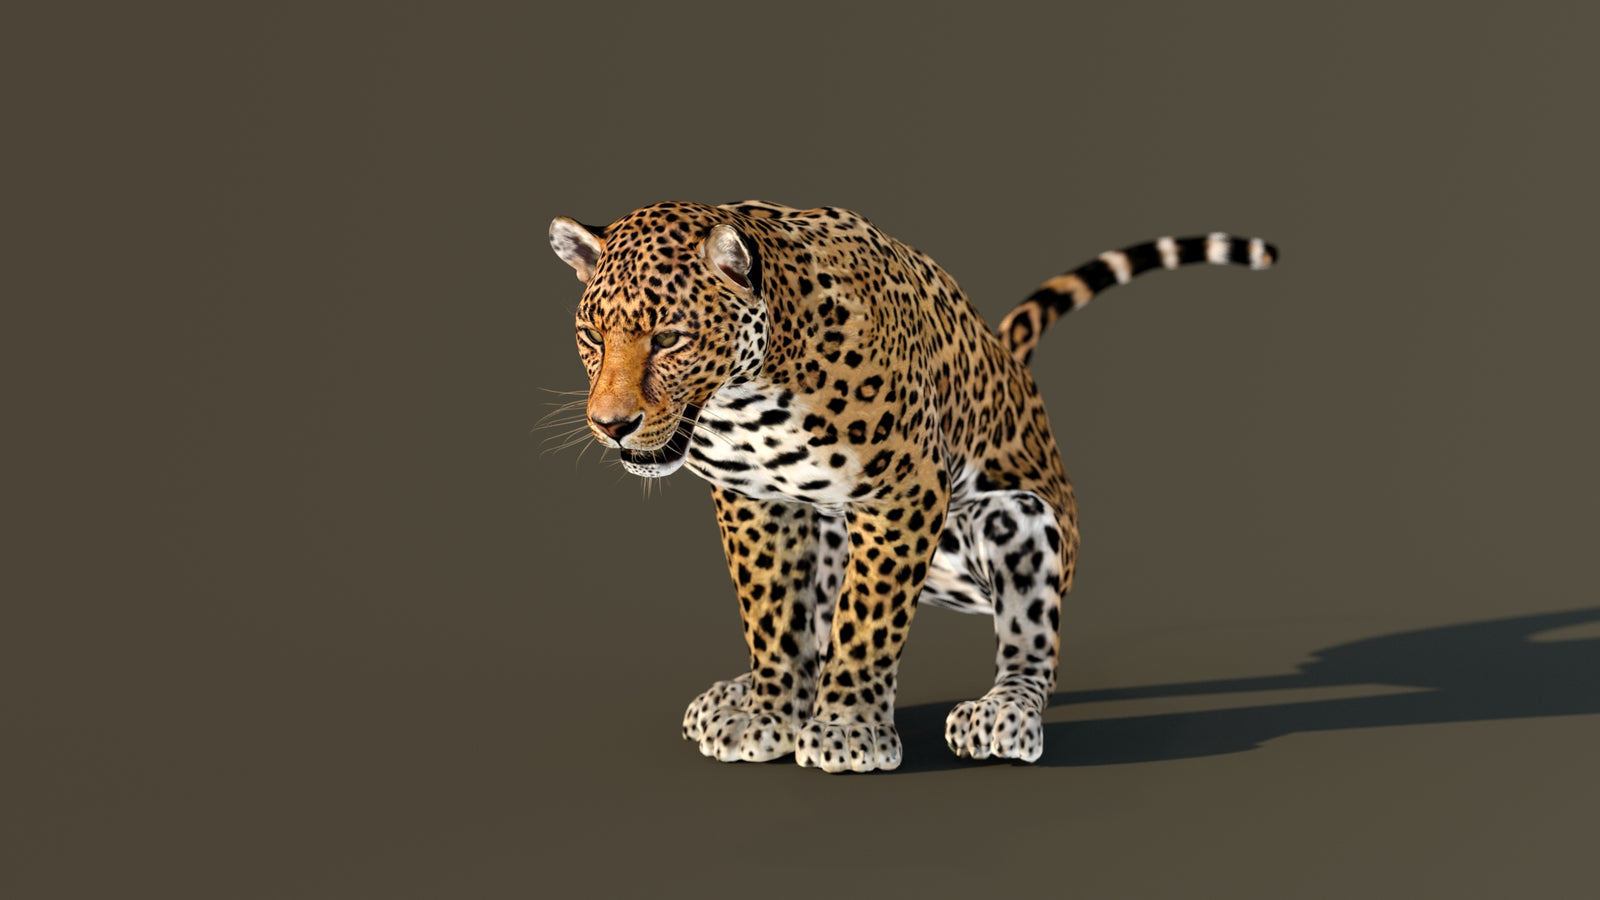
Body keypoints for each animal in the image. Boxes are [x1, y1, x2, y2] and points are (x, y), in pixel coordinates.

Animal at [547, 200, 1276, 772]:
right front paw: (768, 712)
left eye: (670, 337)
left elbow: (868, 619)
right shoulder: (758, 501)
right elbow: (773, 613)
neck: (747, 396)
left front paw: (847, 730)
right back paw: (740, 691)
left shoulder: (905, 488)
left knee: (1031, 644)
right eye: (590, 336)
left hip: (1018, 518)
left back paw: (1002, 714)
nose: (610, 424)